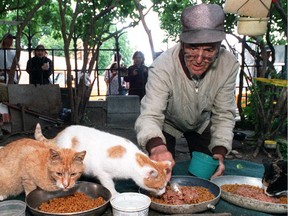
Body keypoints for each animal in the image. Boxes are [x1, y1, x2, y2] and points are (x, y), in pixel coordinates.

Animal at [35, 123, 172, 196]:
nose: (163, 192)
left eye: (165, 186)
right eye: (159, 187)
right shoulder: (102, 173)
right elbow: (109, 184)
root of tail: (61, 133)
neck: (132, 159)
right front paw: (114, 194)